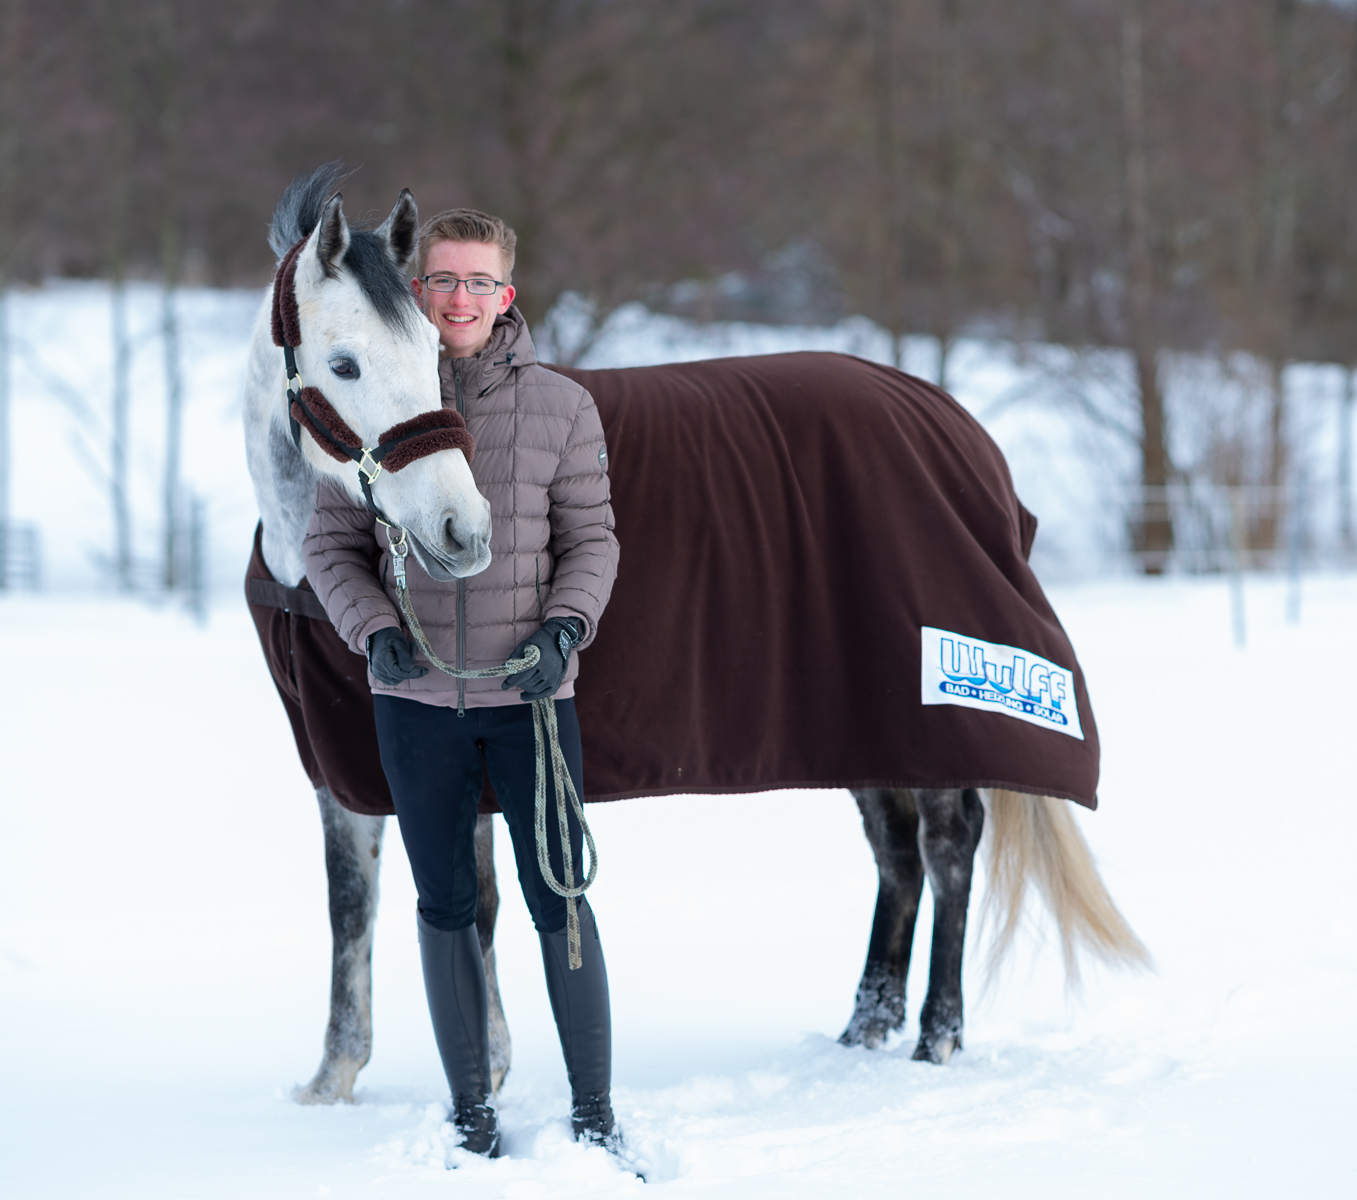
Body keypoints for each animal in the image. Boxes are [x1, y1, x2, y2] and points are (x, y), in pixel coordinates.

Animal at [243, 165, 1148, 1106]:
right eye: (344, 363)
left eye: (430, 355)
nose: (462, 533)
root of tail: (958, 428)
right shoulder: (350, 762)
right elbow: (353, 902)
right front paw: (334, 1079)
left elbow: (481, 903)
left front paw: (486, 1069)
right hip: (864, 722)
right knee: (896, 852)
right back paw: (865, 1027)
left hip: (932, 709)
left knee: (946, 844)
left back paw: (937, 1037)